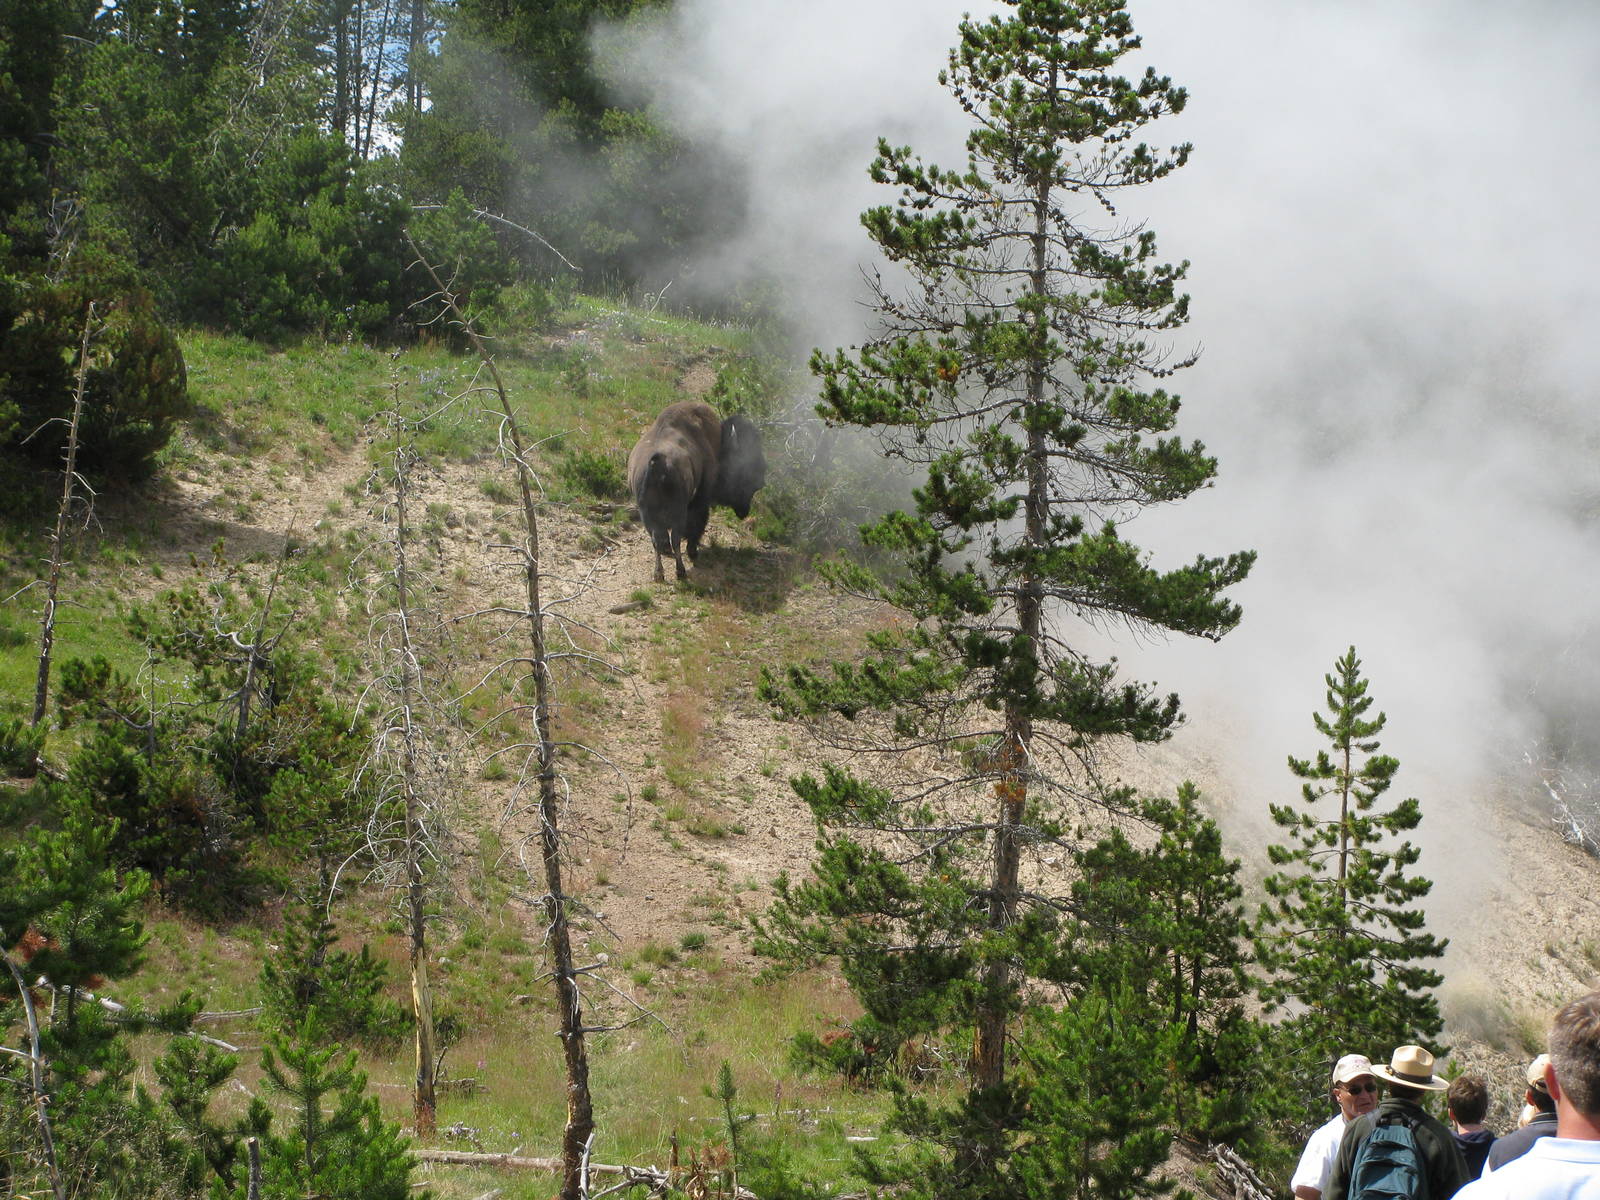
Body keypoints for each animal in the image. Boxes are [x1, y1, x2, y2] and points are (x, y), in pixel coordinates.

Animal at [626, 401, 766, 582]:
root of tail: (657, 463)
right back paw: (681, 571)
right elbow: (697, 523)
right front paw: (693, 551)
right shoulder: (701, 499)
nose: (761, 480)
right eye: (744, 458)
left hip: (647, 513)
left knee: (656, 539)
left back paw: (659, 574)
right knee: (675, 538)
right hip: (677, 511)